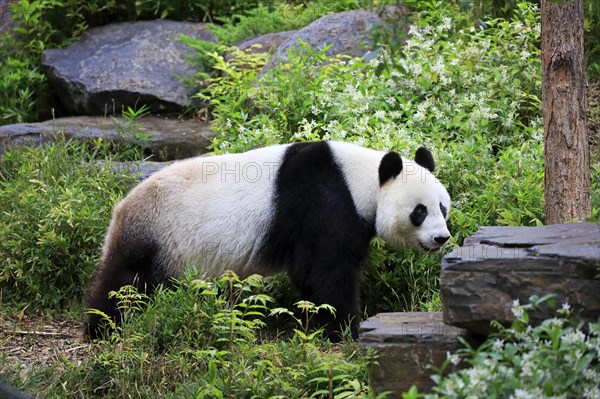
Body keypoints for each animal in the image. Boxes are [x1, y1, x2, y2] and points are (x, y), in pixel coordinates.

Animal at [84, 141, 450, 340]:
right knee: (125, 283)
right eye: (419, 211)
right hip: (158, 234)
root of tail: (120, 208)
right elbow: (325, 271)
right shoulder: (323, 203)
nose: (441, 238)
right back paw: (102, 327)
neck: (361, 179)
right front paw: (344, 328)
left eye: (443, 207)